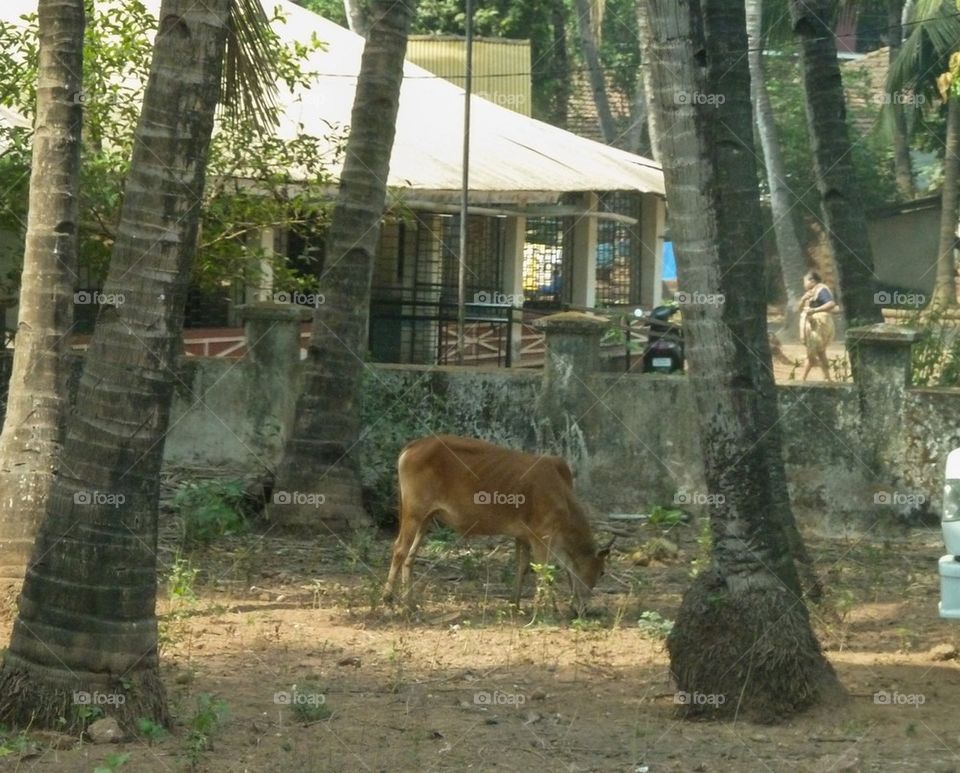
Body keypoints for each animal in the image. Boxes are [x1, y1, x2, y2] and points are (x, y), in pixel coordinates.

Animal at [382, 435, 613, 613]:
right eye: (601, 571)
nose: (583, 609)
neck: (562, 496)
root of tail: (413, 445)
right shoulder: (541, 536)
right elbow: (543, 571)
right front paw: (549, 608)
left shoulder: (523, 536)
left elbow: (523, 567)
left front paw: (515, 603)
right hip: (414, 513)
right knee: (400, 550)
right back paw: (388, 599)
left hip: (425, 519)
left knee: (410, 556)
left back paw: (410, 604)